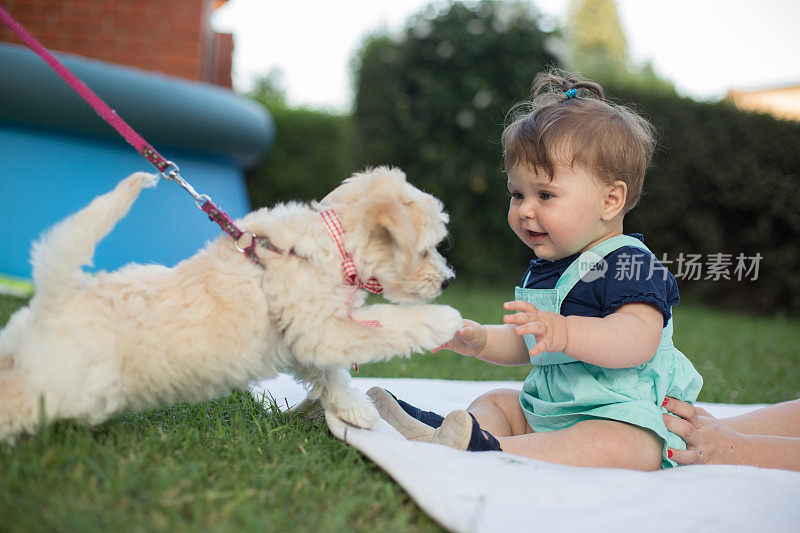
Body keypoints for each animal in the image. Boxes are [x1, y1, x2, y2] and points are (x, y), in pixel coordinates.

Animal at [0, 166, 462, 440]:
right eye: (427, 249)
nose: (447, 282)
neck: (335, 242)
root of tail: (57, 295)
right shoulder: (324, 329)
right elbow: (389, 324)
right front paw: (444, 319)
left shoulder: (303, 336)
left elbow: (329, 375)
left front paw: (355, 411)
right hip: (60, 389)